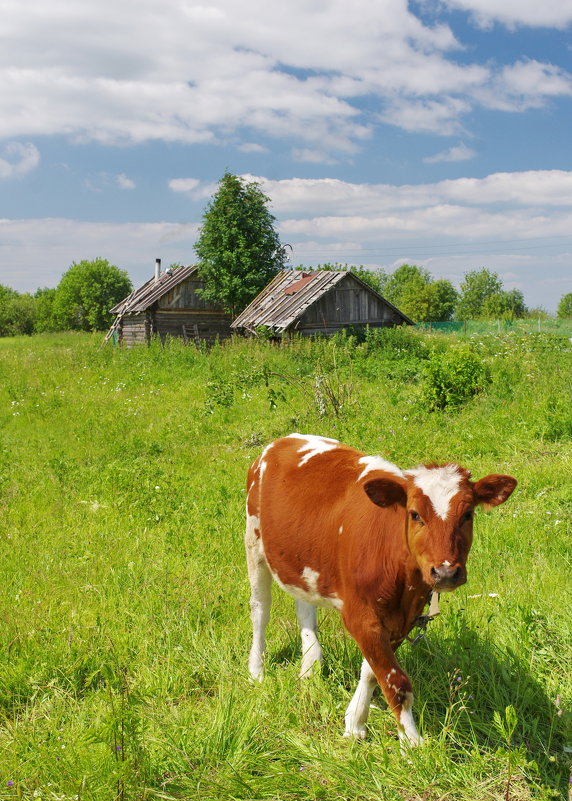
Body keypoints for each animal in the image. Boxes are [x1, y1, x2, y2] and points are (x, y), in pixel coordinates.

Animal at [244, 438, 516, 744]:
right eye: (415, 514)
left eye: (468, 514)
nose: (446, 572)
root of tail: (287, 438)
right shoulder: (360, 615)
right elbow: (395, 682)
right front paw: (412, 744)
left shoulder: (403, 618)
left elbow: (372, 671)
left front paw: (355, 722)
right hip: (254, 542)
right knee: (260, 610)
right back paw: (257, 670)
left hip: (303, 562)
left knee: (305, 610)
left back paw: (310, 668)